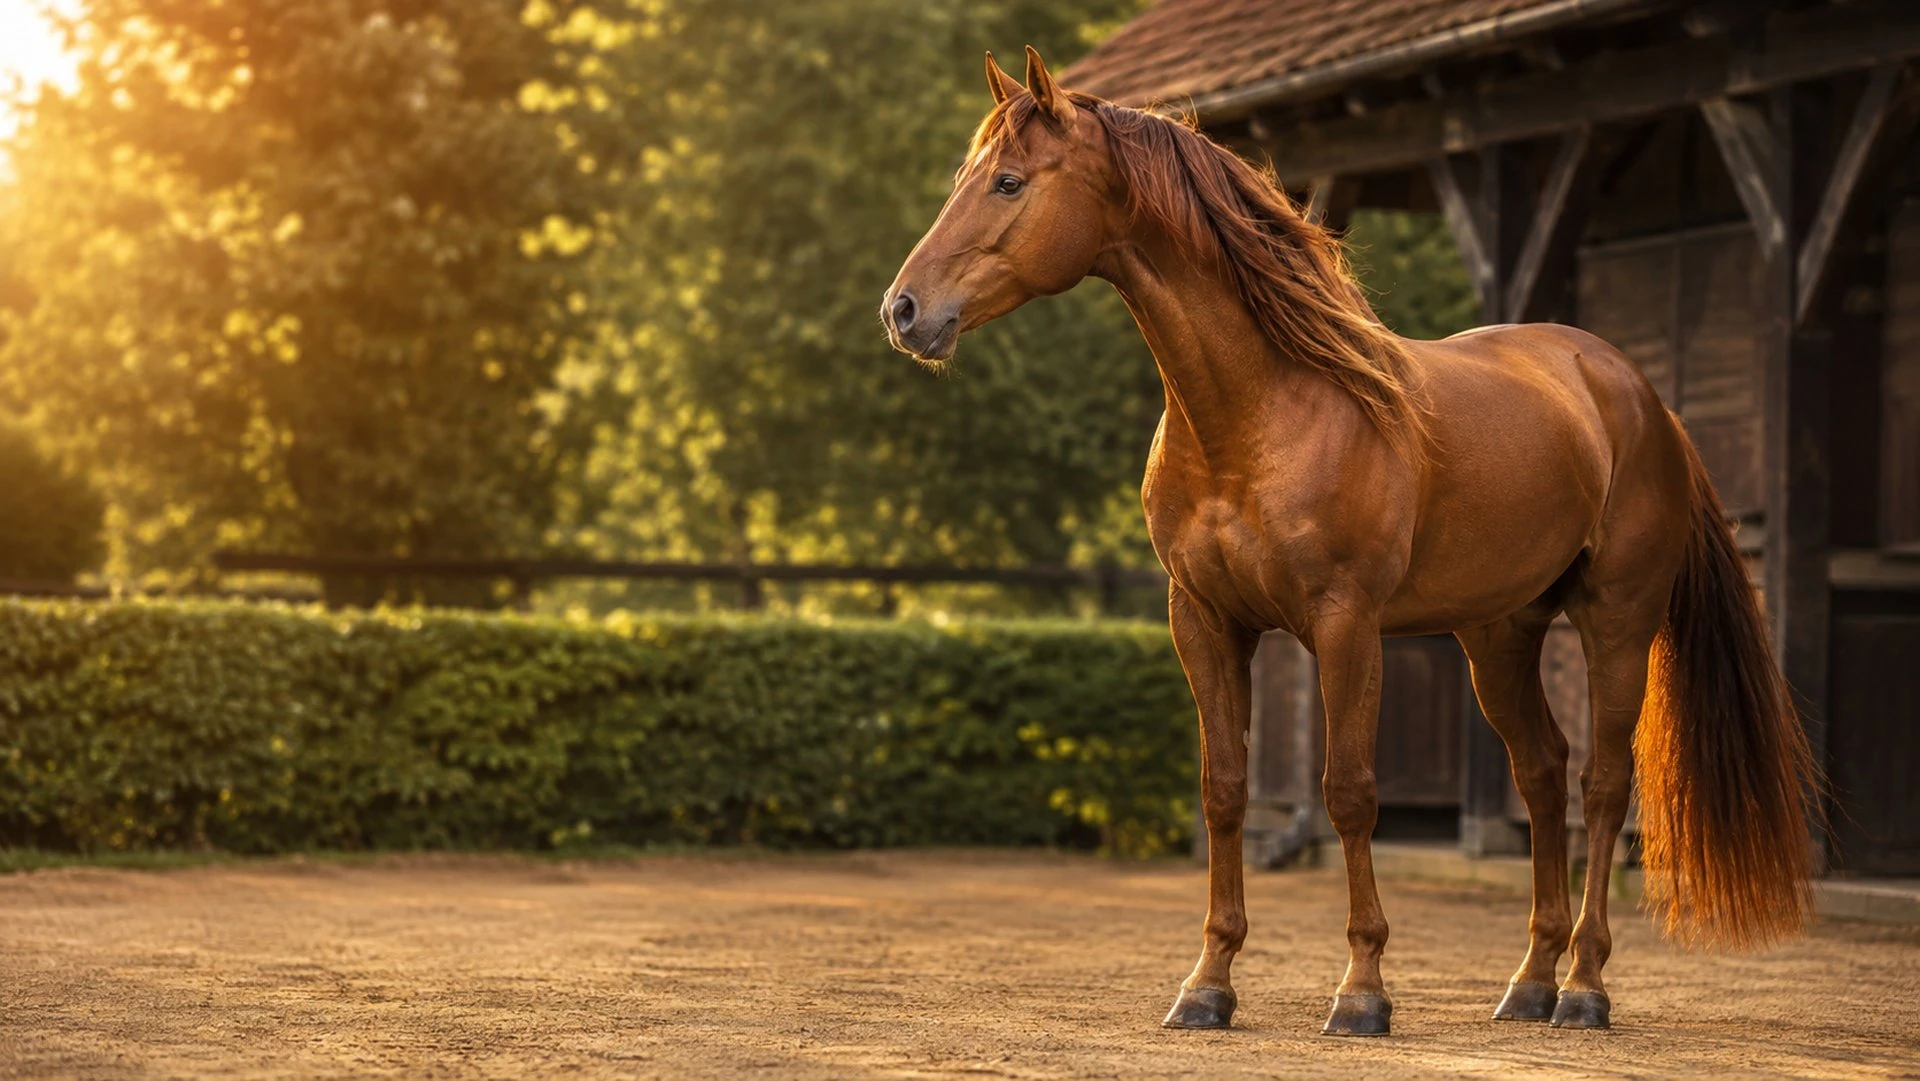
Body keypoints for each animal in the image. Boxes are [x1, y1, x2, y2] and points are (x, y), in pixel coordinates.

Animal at [882, 47, 1817, 1037]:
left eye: (1009, 181)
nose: (904, 310)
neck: (1261, 413)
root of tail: (1635, 393)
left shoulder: (1345, 624)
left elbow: (1349, 792)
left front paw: (1362, 989)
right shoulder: (1203, 619)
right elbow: (1224, 790)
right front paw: (1207, 983)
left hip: (1616, 621)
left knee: (1602, 784)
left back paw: (1585, 988)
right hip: (1500, 635)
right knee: (1542, 772)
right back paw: (1529, 980)